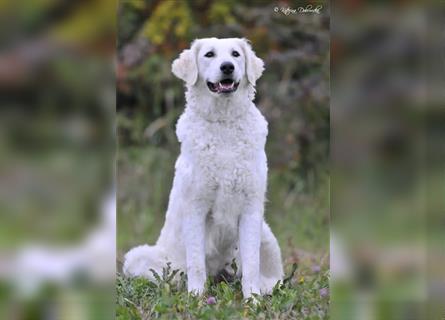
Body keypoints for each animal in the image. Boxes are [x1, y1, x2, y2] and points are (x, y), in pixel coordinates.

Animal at [122, 38, 280, 298]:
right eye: (209, 55)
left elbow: (251, 264)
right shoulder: (196, 208)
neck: (223, 122)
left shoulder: (251, 209)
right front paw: (196, 298)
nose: (227, 67)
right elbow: (196, 263)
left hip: (266, 233)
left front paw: (252, 300)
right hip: (139, 256)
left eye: (235, 54)